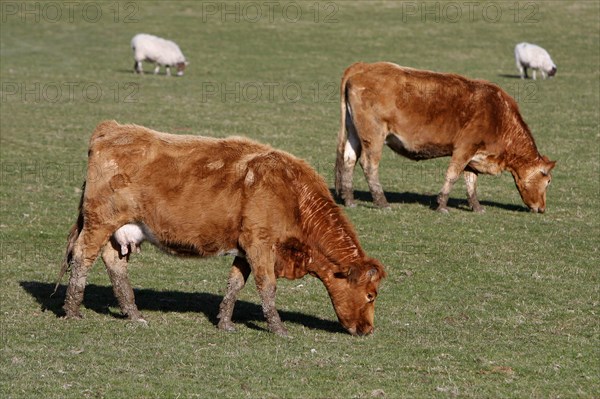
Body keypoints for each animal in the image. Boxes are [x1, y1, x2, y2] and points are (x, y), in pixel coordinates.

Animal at [58, 120, 386, 336]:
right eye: (371, 295)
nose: (368, 330)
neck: (293, 193)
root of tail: (111, 129)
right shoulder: (260, 243)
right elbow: (267, 286)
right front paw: (278, 328)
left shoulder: (245, 248)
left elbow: (235, 284)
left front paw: (225, 322)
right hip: (100, 222)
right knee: (83, 257)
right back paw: (72, 311)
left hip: (121, 230)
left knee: (115, 266)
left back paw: (134, 315)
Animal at [336, 61, 556, 214]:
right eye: (548, 181)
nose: (542, 208)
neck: (499, 115)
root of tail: (361, 67)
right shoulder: (464, 148)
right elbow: (453, 175)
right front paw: (442, 204)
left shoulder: (474, 154)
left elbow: (471, 181)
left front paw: (476, 206)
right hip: (373, 135)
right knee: (369, 164)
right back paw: (382, 202)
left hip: (354, 133)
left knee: (348, 160)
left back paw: (349, 200)